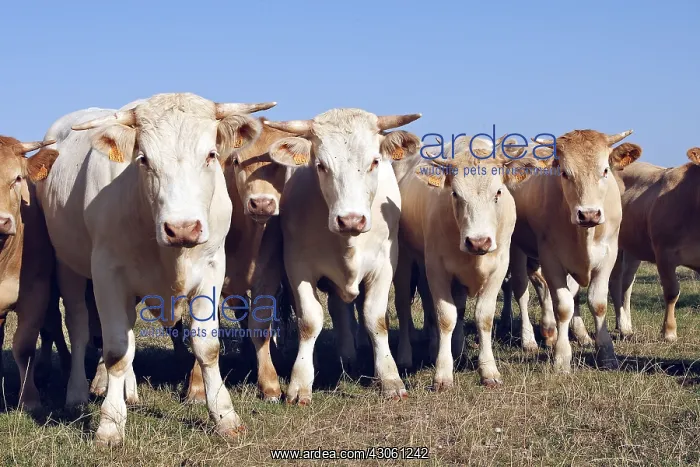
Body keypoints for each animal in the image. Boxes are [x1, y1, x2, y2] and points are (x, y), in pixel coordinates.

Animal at [35, 93, 276, 446]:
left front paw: (225, 417)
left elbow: (206, 346)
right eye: (143, 159)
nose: (182, 228)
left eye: (211, 155)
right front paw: (110, 425)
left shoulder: (212, 268)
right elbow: (116, 350)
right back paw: (77, 392)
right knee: (79, 326)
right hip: (68, 265)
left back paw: (130, 392)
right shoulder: (107, 273)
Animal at [262, 109, 422, 404]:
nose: (351, 220)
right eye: (321, 165)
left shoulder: (384, 264)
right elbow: (309, 321)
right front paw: (300, 382)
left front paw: (389, 377)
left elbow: (375, 318)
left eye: (374, 161)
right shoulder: (297, 266)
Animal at [391, 136, 546, 389]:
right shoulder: (436, 269)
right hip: (404, 259)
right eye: (455, 194)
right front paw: (443, 374)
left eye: (498, 192)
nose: (478, 242)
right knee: (403, 305)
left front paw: (489, 370)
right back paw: (405, 355)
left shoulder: (499, 268)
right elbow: (446, 317)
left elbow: (483, 317)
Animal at [508, 130, 641, 373]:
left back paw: (560, 332)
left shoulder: (608, 256)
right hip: (516, 248)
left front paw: (606, 353)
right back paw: (530, 339)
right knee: (522, 291)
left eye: (605, 170)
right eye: (564, 173)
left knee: (547, 288)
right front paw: (561, 357)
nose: (588, 214)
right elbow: (563, 306)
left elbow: (596, 303)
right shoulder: (551, 258)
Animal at [609, 147, 700, 342]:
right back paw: (623, 326)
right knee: (615, 282)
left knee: (627, 283)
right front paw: (669, 332)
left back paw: (626, 324)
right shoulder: (664, 254)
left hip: (634, 247)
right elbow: (672, 292)